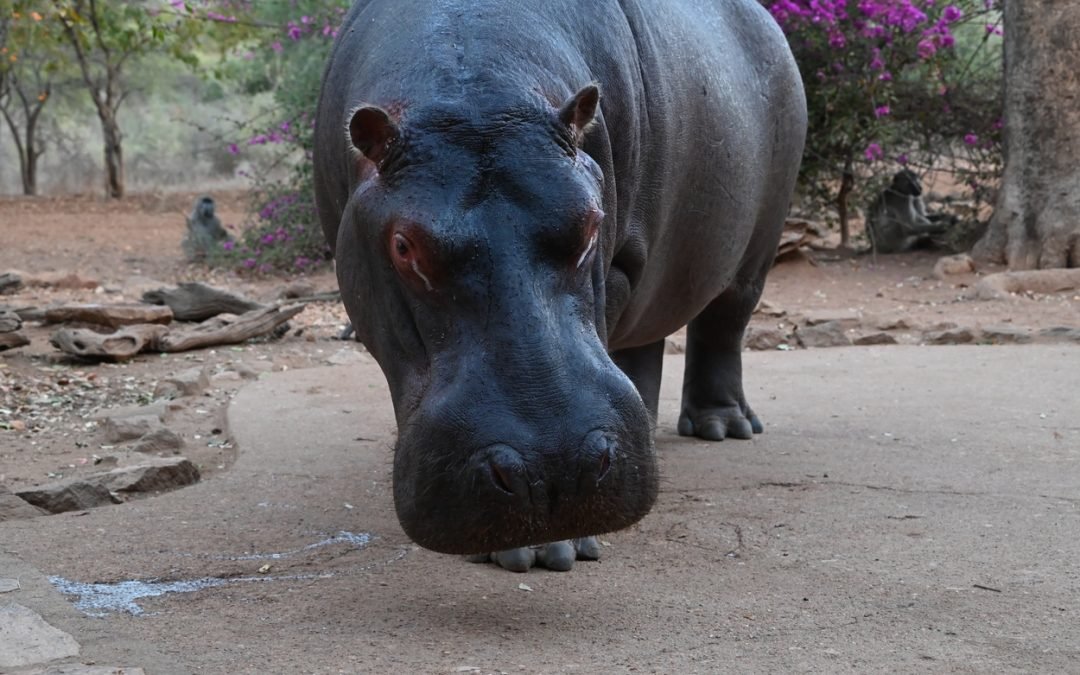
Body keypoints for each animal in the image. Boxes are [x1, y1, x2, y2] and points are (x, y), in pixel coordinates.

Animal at [314, 0, 806, 571]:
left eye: (591, 223)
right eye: (402, 245)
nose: (552, 473)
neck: (476, 87)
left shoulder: (618, 260)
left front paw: (544, 548)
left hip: (756, 249)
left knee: (724, 322)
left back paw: (723, 427)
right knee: (644, 343)